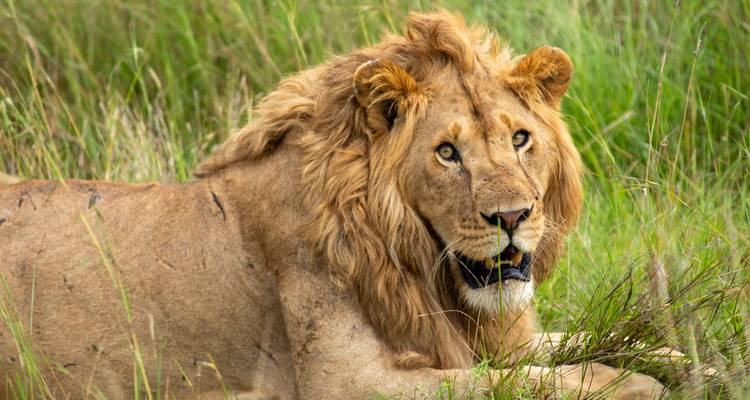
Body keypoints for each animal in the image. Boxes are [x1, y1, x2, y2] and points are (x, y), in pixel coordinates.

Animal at [0, 11, 668, 400]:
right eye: (447, 153)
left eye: (521, 139)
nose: (512, 218)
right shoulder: (344, 382)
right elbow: (525, 380)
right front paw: (636, 384)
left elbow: (580, 343)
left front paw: (676, 358)